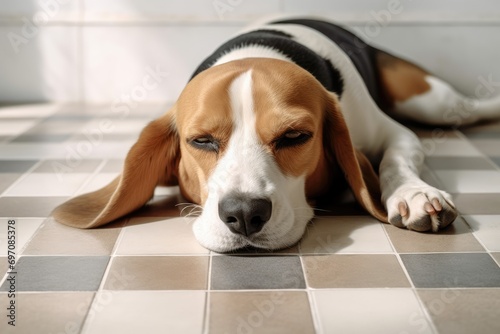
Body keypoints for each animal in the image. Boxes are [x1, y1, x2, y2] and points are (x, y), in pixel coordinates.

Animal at [52, 18, 500, 252]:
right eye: (201, 141)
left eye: (294, 137)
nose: (244, 214)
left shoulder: (394, 132)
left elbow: (396, 160)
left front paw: (414, 193)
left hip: (434, 102)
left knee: (469, 108)